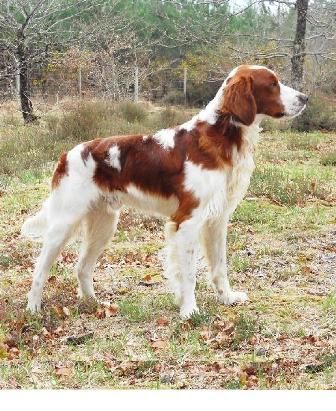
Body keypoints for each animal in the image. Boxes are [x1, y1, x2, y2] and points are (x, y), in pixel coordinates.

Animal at [22, 66, 308, 320]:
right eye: (272, 84)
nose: (305, 98)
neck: (221, 135)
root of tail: (67, 155)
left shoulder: (217, 220)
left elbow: (219, 266)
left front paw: (227, 297)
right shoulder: (187, 221)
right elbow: (189, 274)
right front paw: (189, 311)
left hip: (104, 224)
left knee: (82, 266)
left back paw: (93, 303)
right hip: (64, 223)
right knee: (40, 270)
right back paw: (33, 310)